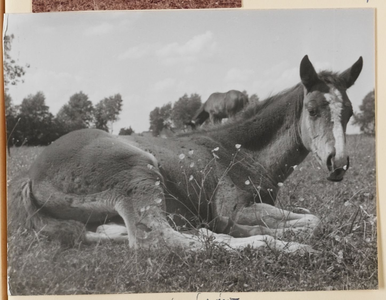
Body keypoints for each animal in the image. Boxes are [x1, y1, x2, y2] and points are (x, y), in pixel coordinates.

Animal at [8, 55, 362, 252]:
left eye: (349, 113)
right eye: (313, 110)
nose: (338, 164)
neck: (240, 151)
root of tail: (32, 176)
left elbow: (310, 216)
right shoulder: (233, 208)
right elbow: (312, 221)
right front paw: (284, 234)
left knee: (114, 234)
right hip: (139, 175)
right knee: (160, 240)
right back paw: (286, 246)